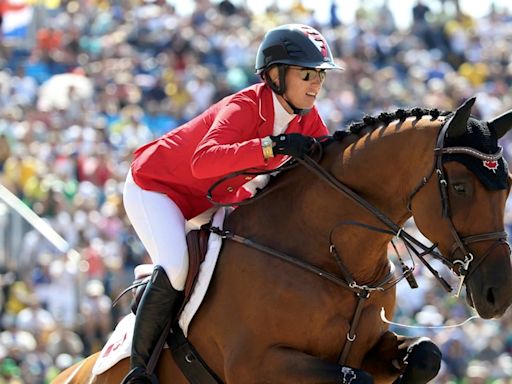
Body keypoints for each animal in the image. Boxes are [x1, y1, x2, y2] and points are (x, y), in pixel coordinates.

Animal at [54, 100, 512, 384]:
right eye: (460, 187)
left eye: (506, 188)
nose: (498, 293)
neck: (335, 262)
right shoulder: (256, 364)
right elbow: (356, 378)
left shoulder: (370, 346)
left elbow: (426, 355)